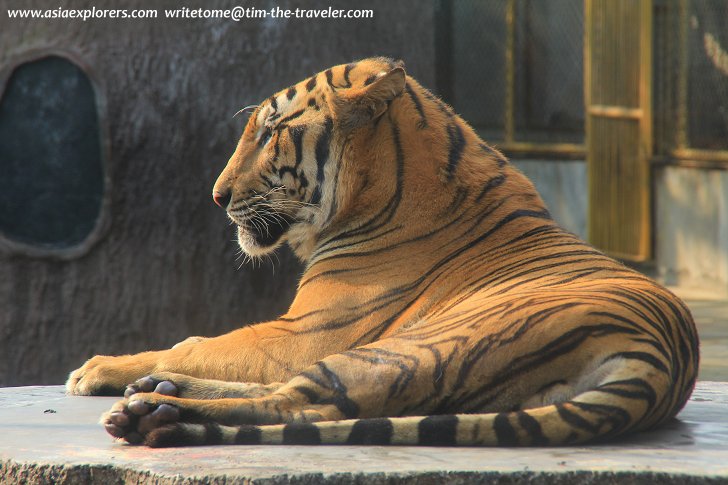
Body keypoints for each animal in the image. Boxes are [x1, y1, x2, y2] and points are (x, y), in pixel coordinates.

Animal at [67, 56, 700, 446]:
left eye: (271, 133)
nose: (217, 197)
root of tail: (661, 359)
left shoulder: (301, 334)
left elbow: (199, 343)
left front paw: (97, 366)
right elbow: (198, 345)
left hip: (406, 347)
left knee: (302, 406)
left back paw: (151, 413)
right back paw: (159, 393)